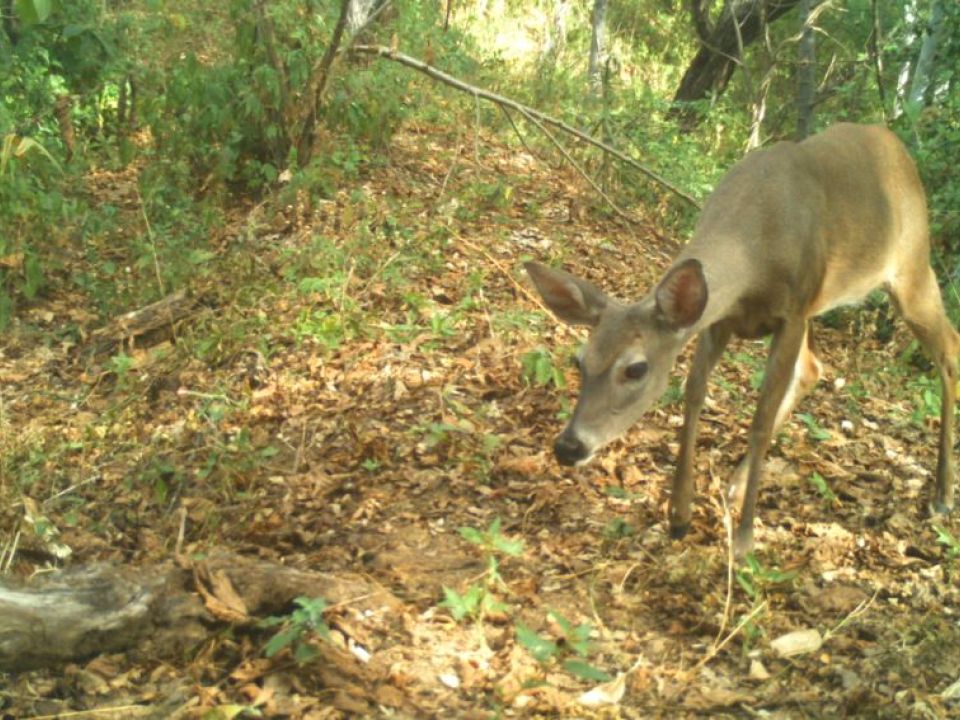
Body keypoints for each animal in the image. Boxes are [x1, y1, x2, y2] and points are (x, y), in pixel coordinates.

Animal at [524, 124, 960, 560]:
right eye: (580, 360)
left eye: (635, 368)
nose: (568, 447)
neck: (755, 243)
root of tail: (900, 151)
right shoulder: (719, 318)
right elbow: (694, 393)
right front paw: (680, 514)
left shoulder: (791, 313)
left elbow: (761, 420)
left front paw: (746, 537)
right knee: (813, 368)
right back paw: (734, 486)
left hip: (910, 270)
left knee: (949, 349)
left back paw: (941, 495)